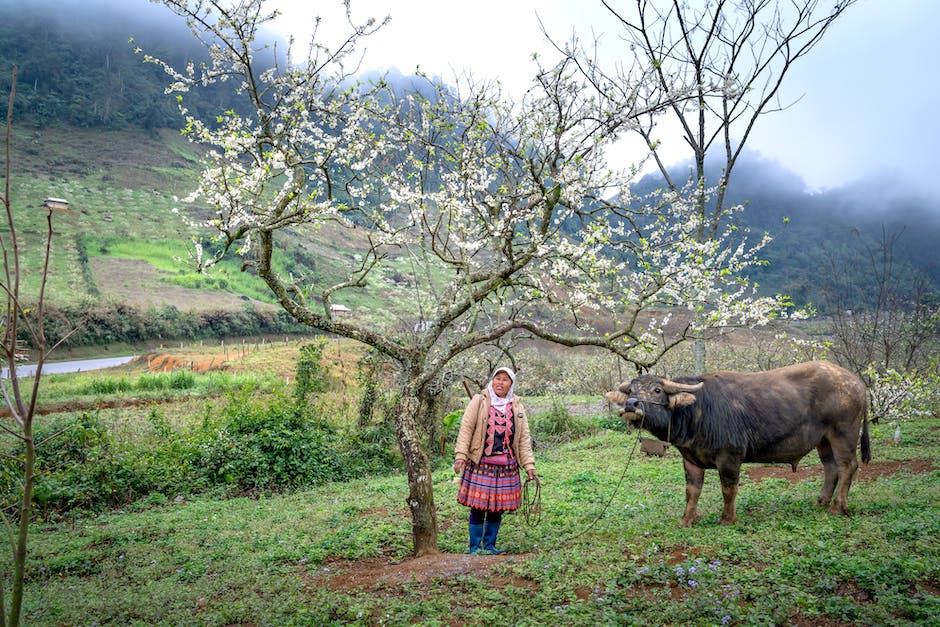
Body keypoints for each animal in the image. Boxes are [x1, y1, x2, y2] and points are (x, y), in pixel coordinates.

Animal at [604, 360, 872, 528]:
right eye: (632, 390)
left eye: (658, 390)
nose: (631, 405)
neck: (699, 411)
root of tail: (857, 383)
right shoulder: (691, 459)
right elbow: (692, 491)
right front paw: (687, 519)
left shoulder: (730, 458)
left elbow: (728, 488)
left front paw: (727, 518)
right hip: (823, 439)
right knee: (831, 468)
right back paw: (821, 501)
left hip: (843, 433)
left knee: (848, 466)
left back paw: (838, 507)